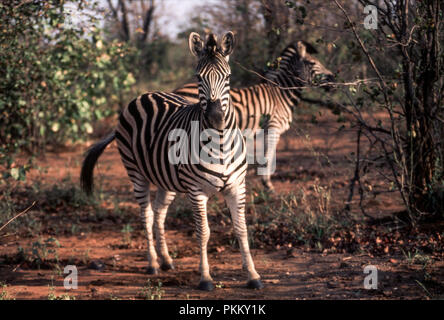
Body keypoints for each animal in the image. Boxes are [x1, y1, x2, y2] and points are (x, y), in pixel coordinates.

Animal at [80, 31, 264, 290]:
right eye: (198, 77)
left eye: (228, 76)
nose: (216, 118)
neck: (220, 143)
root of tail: (144, 94)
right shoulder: (196, 191)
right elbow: (203, 232)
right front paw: (205, 278)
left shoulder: (237, 186)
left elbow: (241, 229)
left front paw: (253, 275)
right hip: (136, 173)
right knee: (147, 215)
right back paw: (153, 264)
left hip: (165, 179)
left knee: (159, 213)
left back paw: (166, 260)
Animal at [173, 40, 332, 192]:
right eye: (312, 63)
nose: (332, 78)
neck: (280, 95)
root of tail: (177, 90)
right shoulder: (273, 128)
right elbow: (268, 156)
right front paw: (268, 185)